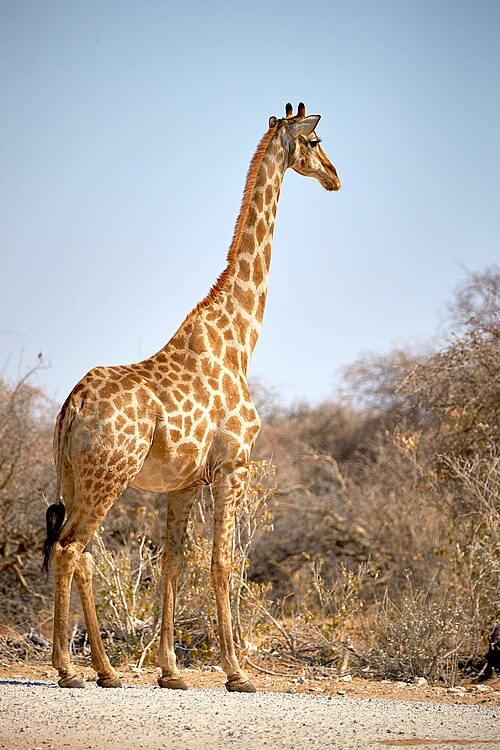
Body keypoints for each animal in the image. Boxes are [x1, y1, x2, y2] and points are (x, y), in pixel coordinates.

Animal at [43, 102, 341, 692]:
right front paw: (236, 672)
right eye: (316, 140)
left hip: (76, 477)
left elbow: (173, 563)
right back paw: (70, 669)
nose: (335, 177)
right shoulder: (234, 465)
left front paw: (171, 671)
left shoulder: (182, 482)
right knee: (69, 548)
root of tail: (71, 407)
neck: (240, 341)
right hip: (108, 476)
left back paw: (106, 671)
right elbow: (223, 562)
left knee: (78, 551)